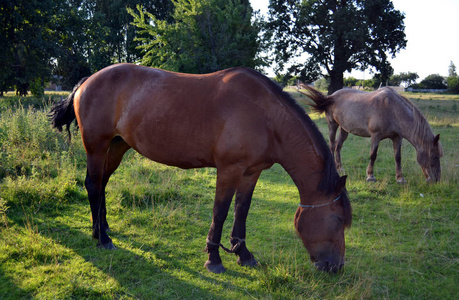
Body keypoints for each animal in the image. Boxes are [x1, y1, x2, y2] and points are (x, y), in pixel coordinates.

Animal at [49, 63, 352, 274]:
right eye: (338, 220)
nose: (336, 267)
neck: (265, 117)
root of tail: (87, 81)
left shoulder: (251, 173)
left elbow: (241, 212)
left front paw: (243, 254)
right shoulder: (229, 170)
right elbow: (220, 212)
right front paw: (214, 259)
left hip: (116, 147)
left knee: (101, 185)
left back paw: (102, 228)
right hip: (97, 147)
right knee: (93, 186)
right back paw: (101, 238)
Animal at [300, 84, 444, 183]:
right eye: (435, 156)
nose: (436, 180)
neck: (392, 110)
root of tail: (331, 96)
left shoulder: (397, 138)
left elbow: (398, 157)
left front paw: (400, 178)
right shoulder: (376, 136)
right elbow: (373, 155)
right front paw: (370, 176)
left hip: (344, 129)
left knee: (337, 146)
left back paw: (340, 168)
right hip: (332, 125)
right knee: (331, 145)